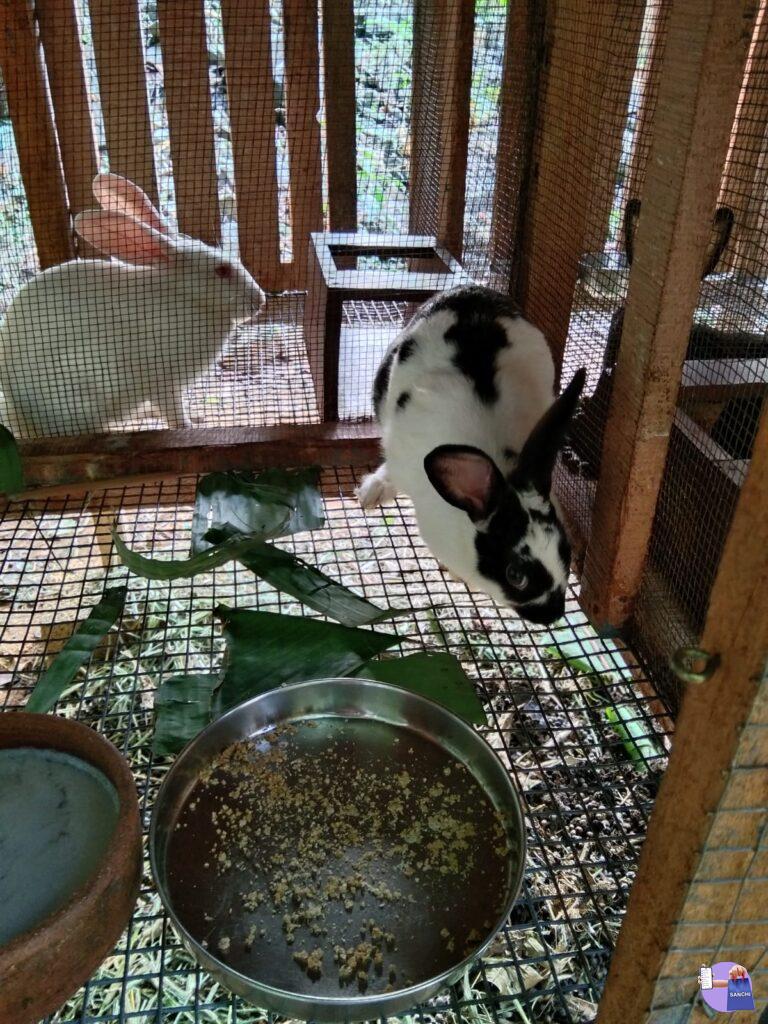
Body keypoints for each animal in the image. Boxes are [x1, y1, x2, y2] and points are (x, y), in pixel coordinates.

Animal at [0, 173, 265, 436]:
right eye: (222, 270)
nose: (260, 300)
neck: (187, 297)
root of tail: (20, 417)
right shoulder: (163, 382)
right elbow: (174, 412)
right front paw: (190, 426)